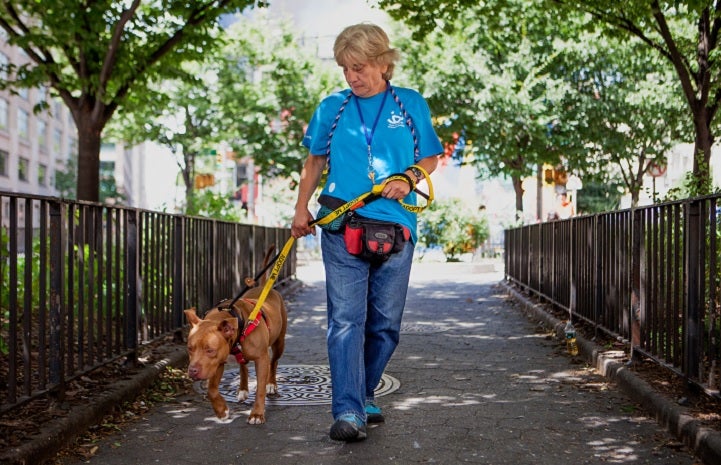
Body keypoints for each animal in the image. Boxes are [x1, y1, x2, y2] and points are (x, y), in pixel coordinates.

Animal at [183, 246, 286, 424]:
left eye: (210, 350)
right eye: (190, 348)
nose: (193, 371)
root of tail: (264, 287)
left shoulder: (261, 359)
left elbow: (260, 388)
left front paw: (257, 414)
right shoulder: (218, 362)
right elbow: (211, 389)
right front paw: (221, 410)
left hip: (279, 344)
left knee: (274, 361)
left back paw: (271, 384)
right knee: (242, 365)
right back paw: (243, 389)